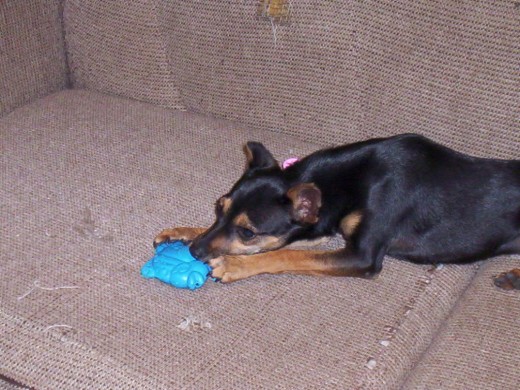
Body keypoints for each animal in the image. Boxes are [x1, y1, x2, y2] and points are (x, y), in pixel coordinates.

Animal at [154, 134, 520, 290]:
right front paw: (183, 232)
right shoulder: (322, 228)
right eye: (219, 208)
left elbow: (287, 256)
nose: (194, 251)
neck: (347, 182)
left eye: (247, 232)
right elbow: (289, 247)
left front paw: (234, 265)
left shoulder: (361, 256)